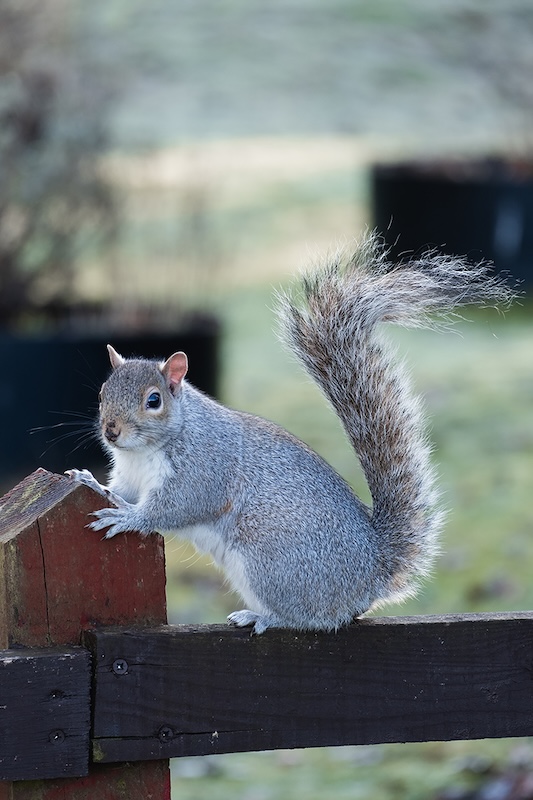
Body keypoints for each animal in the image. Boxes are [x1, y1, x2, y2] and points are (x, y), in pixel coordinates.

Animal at [67, 233, 513, 634]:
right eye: (103, 392)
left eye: (154, 400)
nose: (111, 432)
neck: (146, 449)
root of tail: (372, 573)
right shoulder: (130, 474)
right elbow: (117, 488)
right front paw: (88, 479)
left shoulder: (204, 468)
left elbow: (176, 506)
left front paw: (128, 517)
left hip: (272, 562)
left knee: (311, 619)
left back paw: (263, 617)